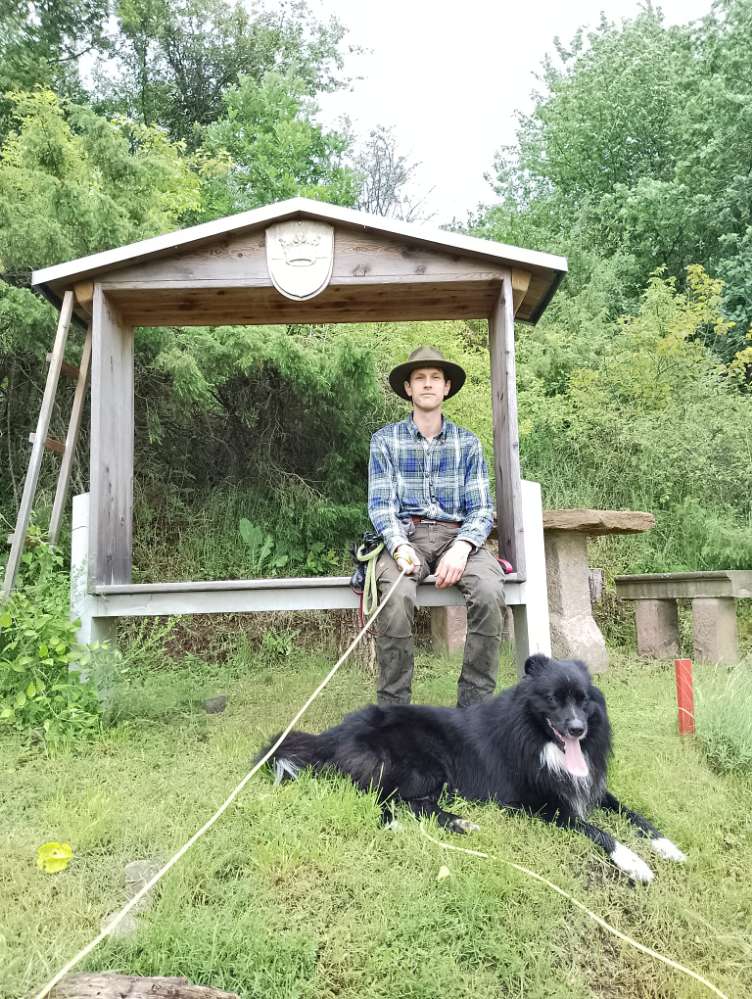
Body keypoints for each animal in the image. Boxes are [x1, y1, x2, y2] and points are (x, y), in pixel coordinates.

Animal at [264, 656, 688, 884]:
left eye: (584, 701)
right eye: (553, 700)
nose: (577, 730)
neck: (538, 738)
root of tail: (335, 732)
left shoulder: (589, 786)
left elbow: (633, 814)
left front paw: (668, 846)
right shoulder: (544, 806)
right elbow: (600, 831)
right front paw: (634, 863)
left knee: (414, 804)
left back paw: (461, 823)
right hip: (425, 764)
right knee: (388, 799)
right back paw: (420, 823)